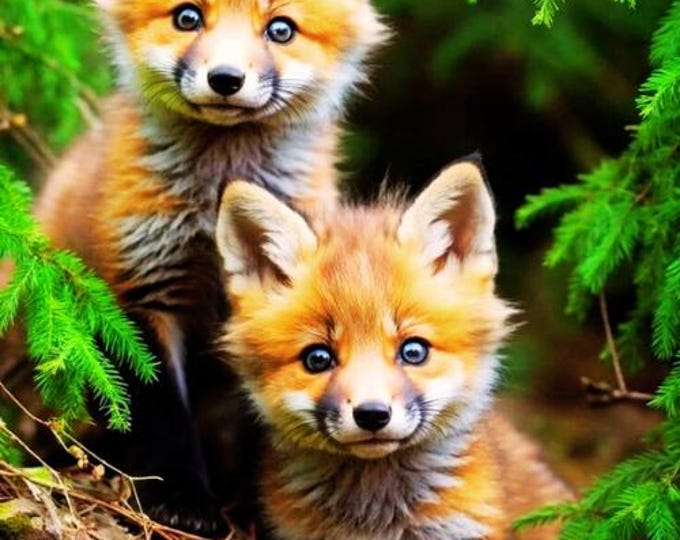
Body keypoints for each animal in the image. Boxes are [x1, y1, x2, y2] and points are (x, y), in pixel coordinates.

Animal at [29, 0, 386, 533]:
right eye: (187, 17)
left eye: (281, 29)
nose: (225, 79)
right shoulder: (144, 289)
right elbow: (163, 414)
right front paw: (183, 499)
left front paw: (259, 510)